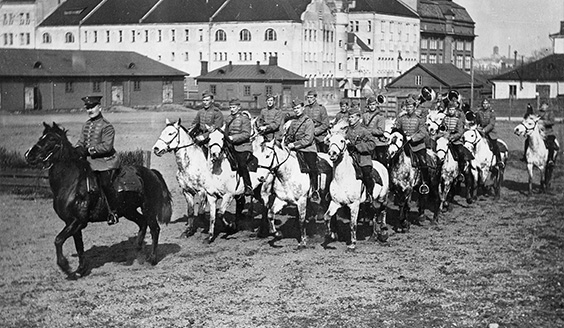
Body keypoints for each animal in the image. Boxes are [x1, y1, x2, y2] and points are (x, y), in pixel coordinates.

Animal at [25, 123, 172, 280]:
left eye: (52, 139)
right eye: (41, 137)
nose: (29, 155)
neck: (72, 183)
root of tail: (151, 172)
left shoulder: (77, 221)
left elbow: (58, 240)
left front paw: (66, 266)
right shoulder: (72, 223)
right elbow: (79, 245)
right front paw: (80, 270)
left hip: (148, 208)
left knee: (154, 229)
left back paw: (152, 259)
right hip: (129, 211)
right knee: (143, 223)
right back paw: (138, 251)